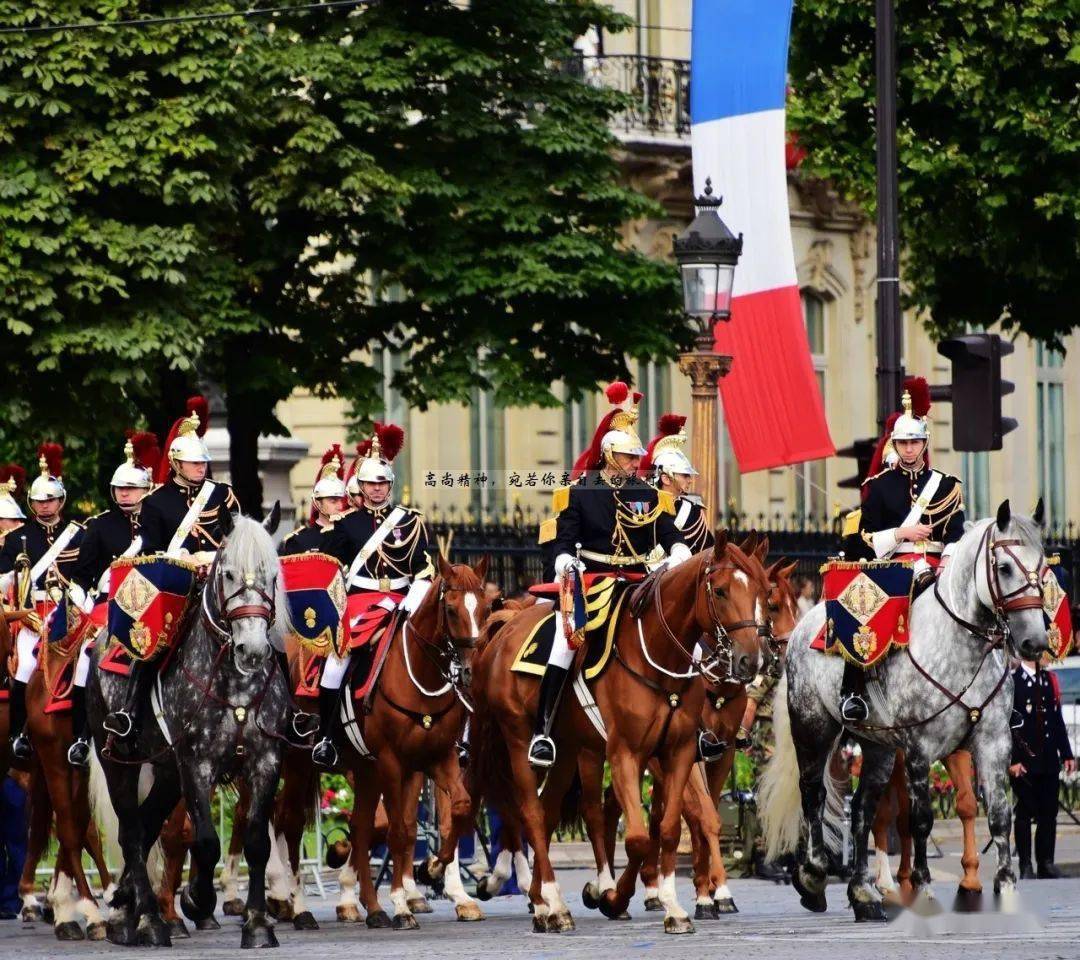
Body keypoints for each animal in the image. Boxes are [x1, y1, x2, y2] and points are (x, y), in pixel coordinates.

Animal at [90, 509, 289, 945]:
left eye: (273, 576)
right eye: (229, 574)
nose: (253, 650)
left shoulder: (266, 762)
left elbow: (256, 842)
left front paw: (257, 924)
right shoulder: (196, 765)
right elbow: (207, 842)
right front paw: (199, 899)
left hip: (166, 772)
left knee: (146, 826)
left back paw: (127, 906)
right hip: (119, 763)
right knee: (131, 832)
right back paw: (148, 921)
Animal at [473, 531, 768, 928]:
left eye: (761, 591)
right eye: (720, 591)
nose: (751, 661)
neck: (658, 658)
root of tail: (506, 625)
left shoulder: (680, 752)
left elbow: (670, 828)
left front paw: (674, 907)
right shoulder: (625, 752)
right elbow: (640, 837)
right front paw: (614, 897)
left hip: (568, 749)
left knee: (548, 813)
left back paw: (548, 902)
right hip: (521, 742)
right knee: (531, 814)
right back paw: (550, 901)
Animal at [760, 498, 1045, 915]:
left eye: (1043, 564)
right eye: (1004, 567)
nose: (1034, 643)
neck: (961, 645)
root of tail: (802, 626)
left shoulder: (993, 743)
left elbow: (998, 814)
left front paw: (1006, 892)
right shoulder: (919, 749)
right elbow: (920, 819)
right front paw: (924, 889)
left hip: (877, 747)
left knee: (862, 810)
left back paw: (863, 893)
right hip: (813, 728)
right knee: (813, 794)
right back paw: (813, 877)